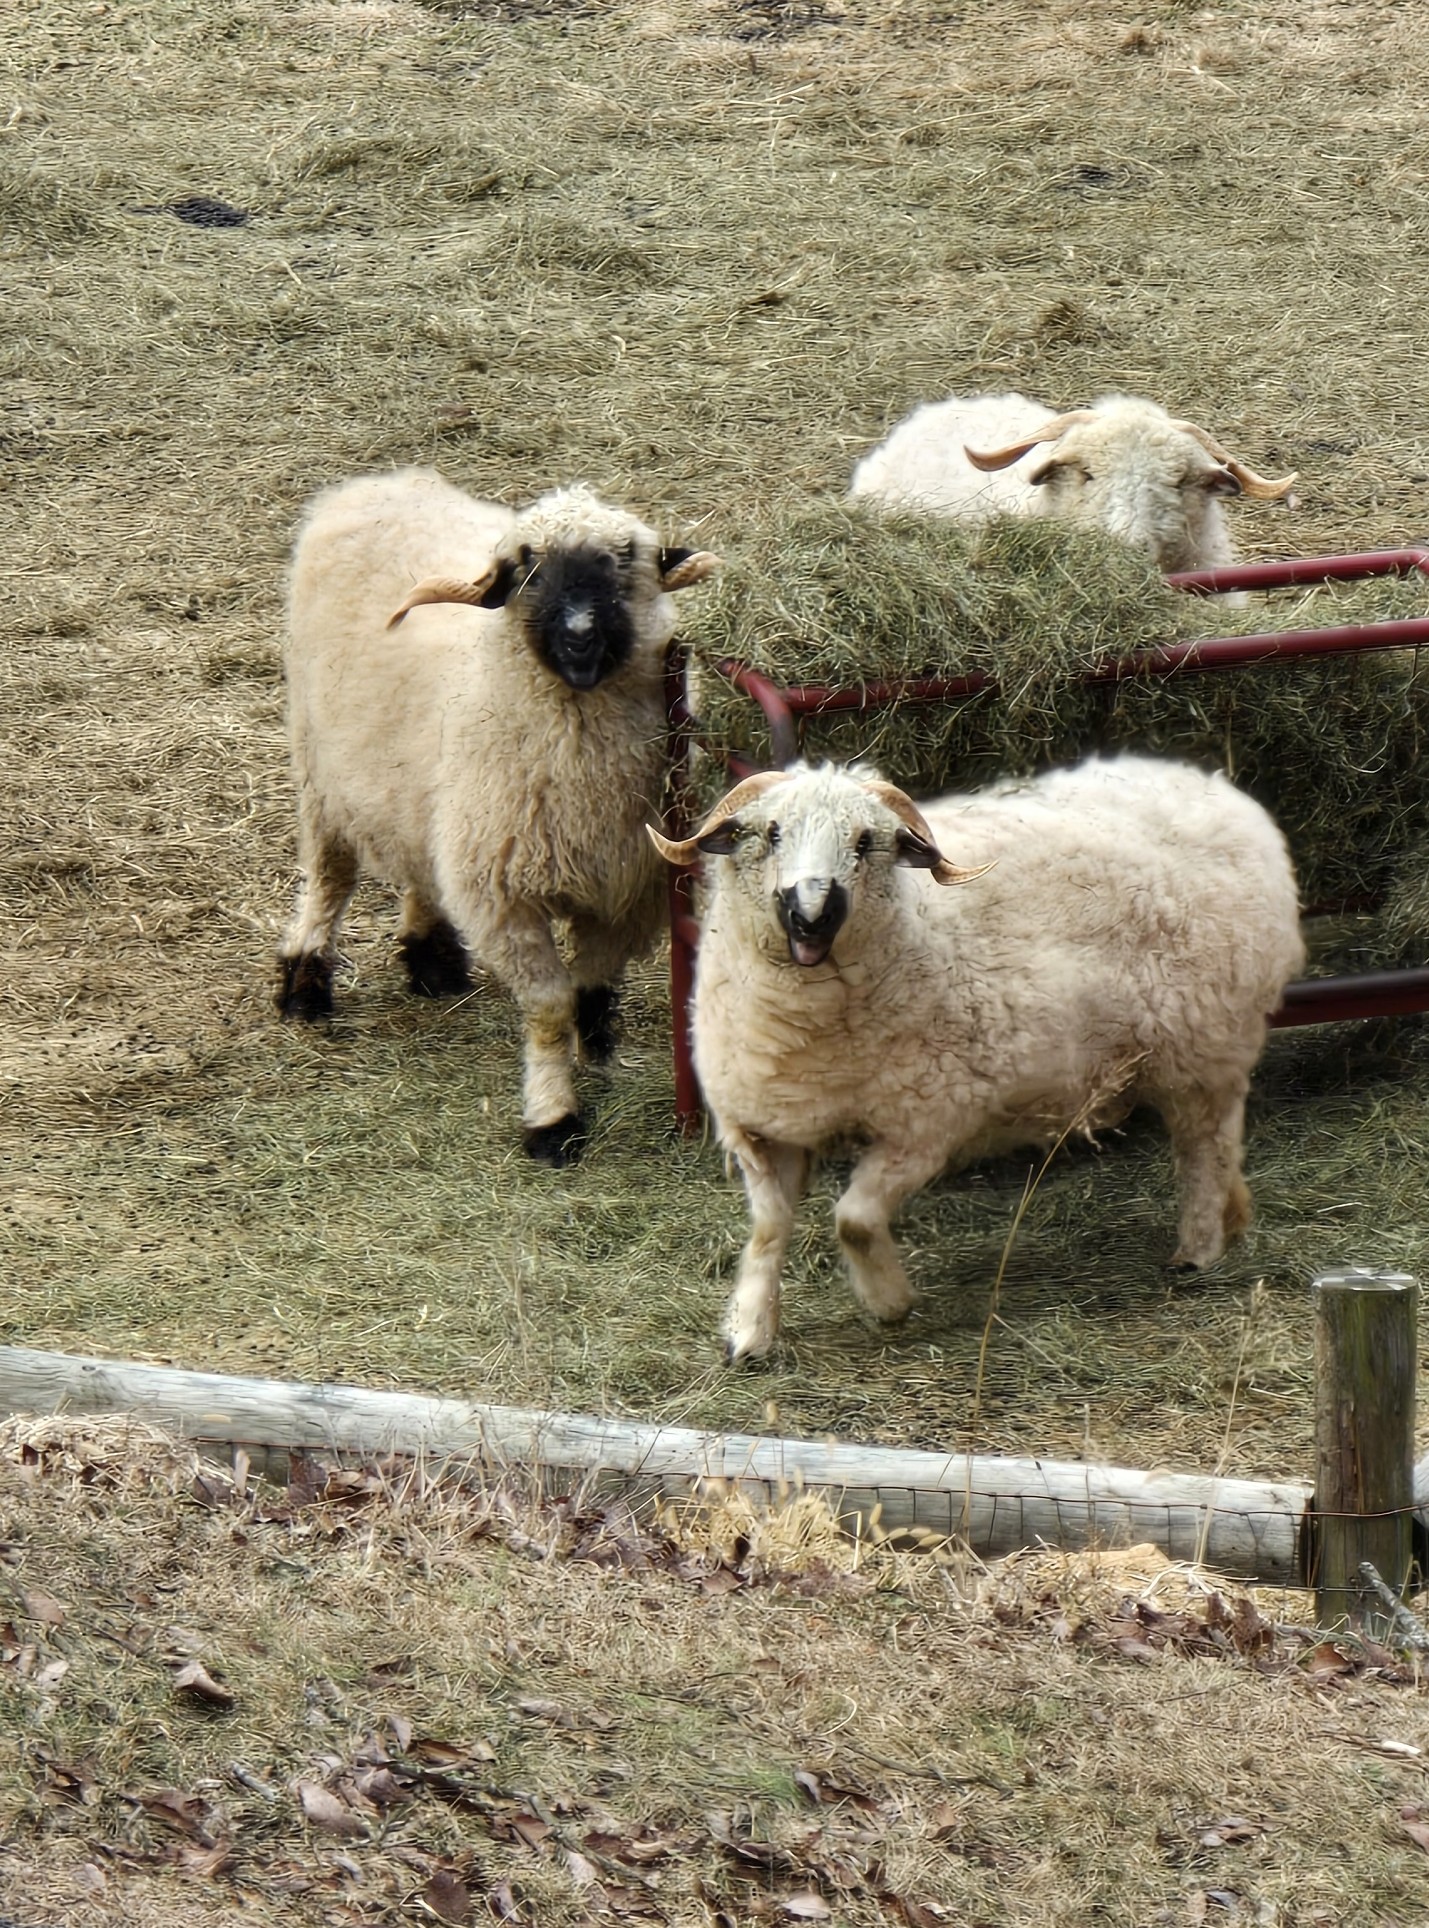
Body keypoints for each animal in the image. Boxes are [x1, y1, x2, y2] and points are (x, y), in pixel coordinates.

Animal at [276, 466, 720, 1165]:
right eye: (526, 566)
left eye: (627, 557)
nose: (579, 634)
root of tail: (378, 482)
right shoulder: (506, 898)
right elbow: (549, 1006)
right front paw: (553, 1118)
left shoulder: (629, 890)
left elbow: (591, 986)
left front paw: (597, 1052)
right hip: (318, 766)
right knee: (328, 877)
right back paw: (305, 982)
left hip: (430, 803)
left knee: (421, 866)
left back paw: (432, 959)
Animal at [650, 754, 1303, 1360]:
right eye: (773, 832)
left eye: (865, 843)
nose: (813, 914)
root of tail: (1224, 795)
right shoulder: (762, 1128)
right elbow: (768, 1229)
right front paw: (750, 1332)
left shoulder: (924, 1125)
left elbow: (854, 1220)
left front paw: (889, 1303)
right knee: (1216, 1145)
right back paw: (1232, 1219)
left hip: (1206, 1045)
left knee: (1205, 1149)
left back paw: (1199, 1248)